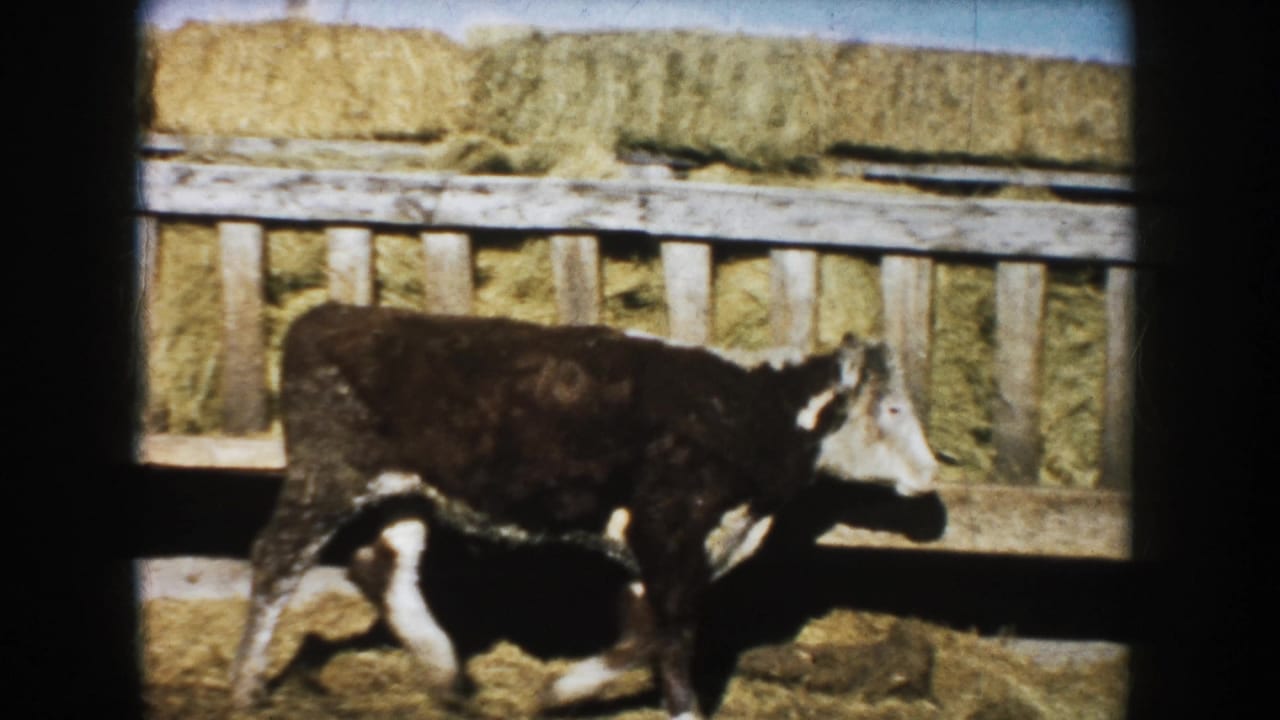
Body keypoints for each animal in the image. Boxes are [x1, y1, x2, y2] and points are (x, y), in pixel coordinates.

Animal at [229, 302, 940, 719]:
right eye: (892, 408)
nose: (932, 475)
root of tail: (330, 313)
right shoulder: (668, 529)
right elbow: (673, 632)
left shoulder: (674, 549)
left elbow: (647, 626)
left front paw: (561, 690)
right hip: (326, 479)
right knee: (276, 562)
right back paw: (248, 685)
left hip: (406, 492)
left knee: (381, 566)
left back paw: (445, 675)